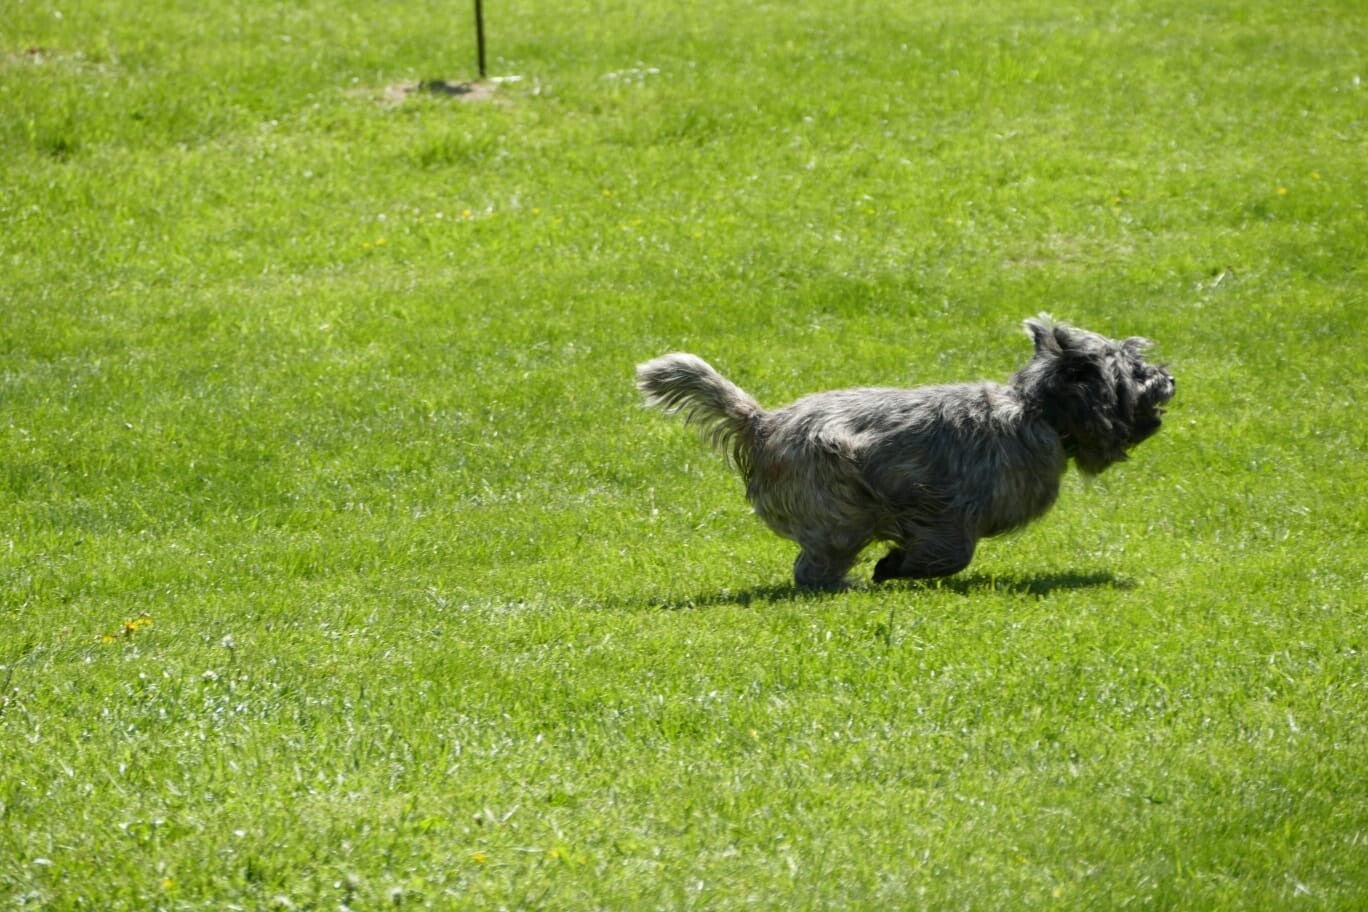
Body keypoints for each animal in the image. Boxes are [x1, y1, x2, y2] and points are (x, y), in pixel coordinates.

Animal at [636, 315, 1175, 589]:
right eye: (1133, 369)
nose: (1168, 378)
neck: (1037, 411)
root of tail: (761, 422)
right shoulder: (944, 507)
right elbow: (950, 551)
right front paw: (893, 567)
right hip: (842, 511)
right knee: (812, 568)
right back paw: (843, 585)